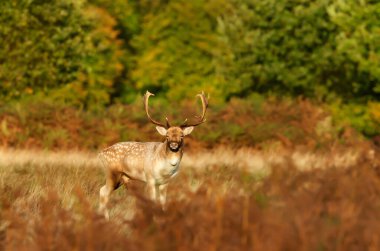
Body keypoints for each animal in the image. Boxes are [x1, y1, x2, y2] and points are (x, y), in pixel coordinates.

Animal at [98, 91, 208, 219]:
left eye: (182, 136)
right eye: (167, 136)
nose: (174, 145)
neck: (166, 168)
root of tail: (101, 153)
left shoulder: (165, 182)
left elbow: (163, 202)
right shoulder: (149, 178)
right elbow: (152, 201)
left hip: (122, 177)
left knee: (102, 190)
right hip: (112, 173)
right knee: (104, 192)